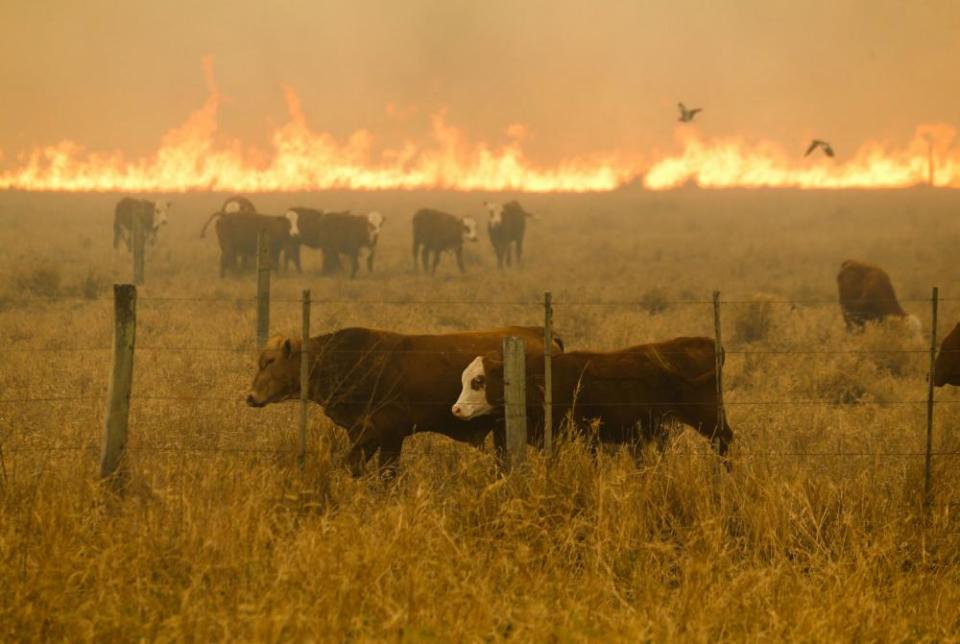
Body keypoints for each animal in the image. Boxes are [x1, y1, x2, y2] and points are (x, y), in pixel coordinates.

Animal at [454, 338, 732, 462]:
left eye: (478, 381)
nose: (456, 409)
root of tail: (708, 342)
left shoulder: (582, 434)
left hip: (707, 416)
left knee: (725, 440)